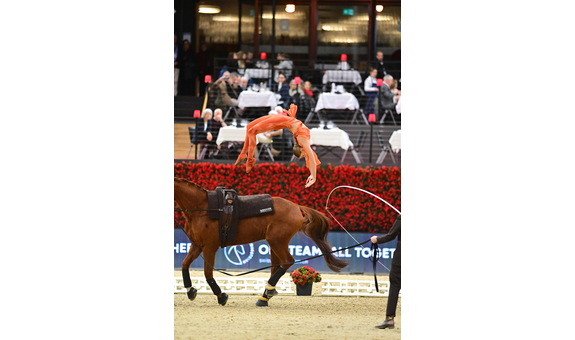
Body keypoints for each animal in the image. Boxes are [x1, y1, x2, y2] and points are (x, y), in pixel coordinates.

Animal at [173, 177, 348, 306]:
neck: (204, 208)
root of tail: (296, 207)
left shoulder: (210, 247)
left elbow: (207, 274)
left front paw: (221, 296)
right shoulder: (197, 245)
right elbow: (184, 265)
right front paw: (190, 290)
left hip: (277, 241)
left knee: (287, 262)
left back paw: (268, 291)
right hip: (274, 244)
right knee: (277, 266)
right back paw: (265, 296)